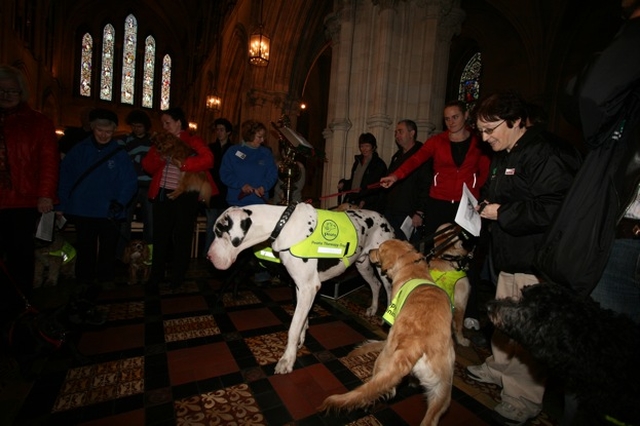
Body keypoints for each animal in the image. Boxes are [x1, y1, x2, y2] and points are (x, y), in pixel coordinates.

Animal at [208, 203, 396, 372]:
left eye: (219, 232)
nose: (208, 257)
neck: (281, 225)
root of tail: (384, 218)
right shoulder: (301, 287)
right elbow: (302, 319)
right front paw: (301, 338)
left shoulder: (308, 288)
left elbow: (293, 327)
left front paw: (287, 359)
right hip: (363, 265)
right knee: (375, 284)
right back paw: (373, 308)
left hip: (386, 270)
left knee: (389, 291)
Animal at [320, 240, 456, 426]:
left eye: (380, 249)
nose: (370, 251)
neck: (410, 266)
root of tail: (416, 345)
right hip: (442, 393)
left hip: (384, 359)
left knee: (377, 388)